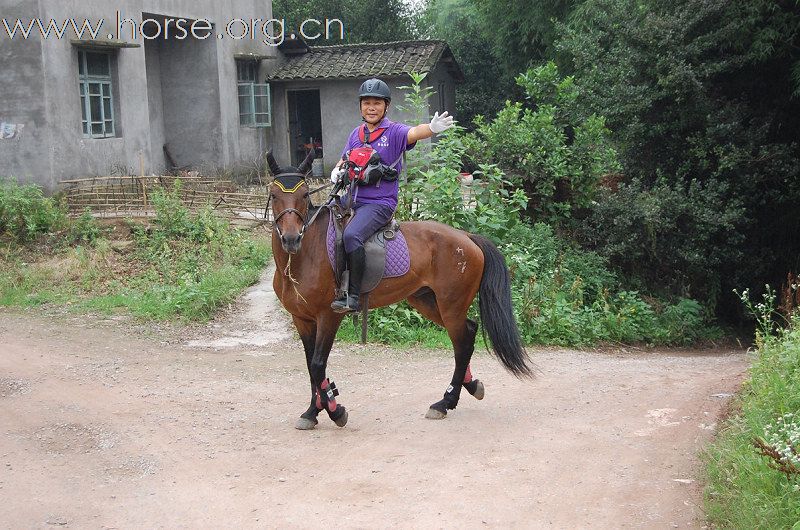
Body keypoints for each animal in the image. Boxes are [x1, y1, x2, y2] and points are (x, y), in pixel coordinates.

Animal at [266, 148, 536, 428]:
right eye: (274, 195)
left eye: (304, 195)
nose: (291, 238)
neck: (303, 257)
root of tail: (466, 237)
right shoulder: (302, 319)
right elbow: (311, 366)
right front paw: (312, 411)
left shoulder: (329, 316)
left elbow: (319, 365)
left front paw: (334, 410)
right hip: (428, 301)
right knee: (469, 332)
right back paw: (469, 386)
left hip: (451, 306)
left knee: (462, 345)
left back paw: (445, 402)